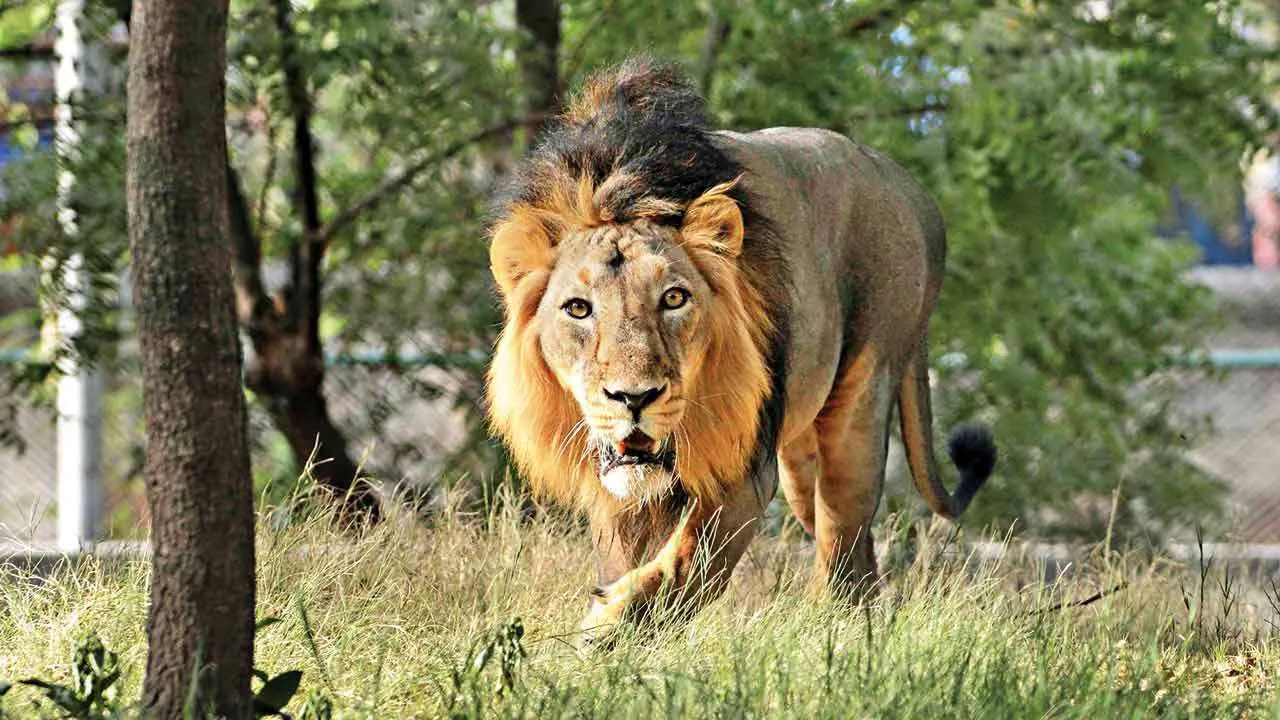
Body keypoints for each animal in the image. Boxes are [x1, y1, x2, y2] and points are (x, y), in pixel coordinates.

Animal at [486, 57, 997, 642]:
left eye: (674, 298)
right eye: (577, 309)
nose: (633, 398)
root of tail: (916, 193)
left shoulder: (745, 467)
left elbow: (689, 561)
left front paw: (608, 624)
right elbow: (629, 556)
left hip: (863, 394)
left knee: (842, 533)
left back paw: (830, 632)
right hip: (800, 456)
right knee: (853, 547)